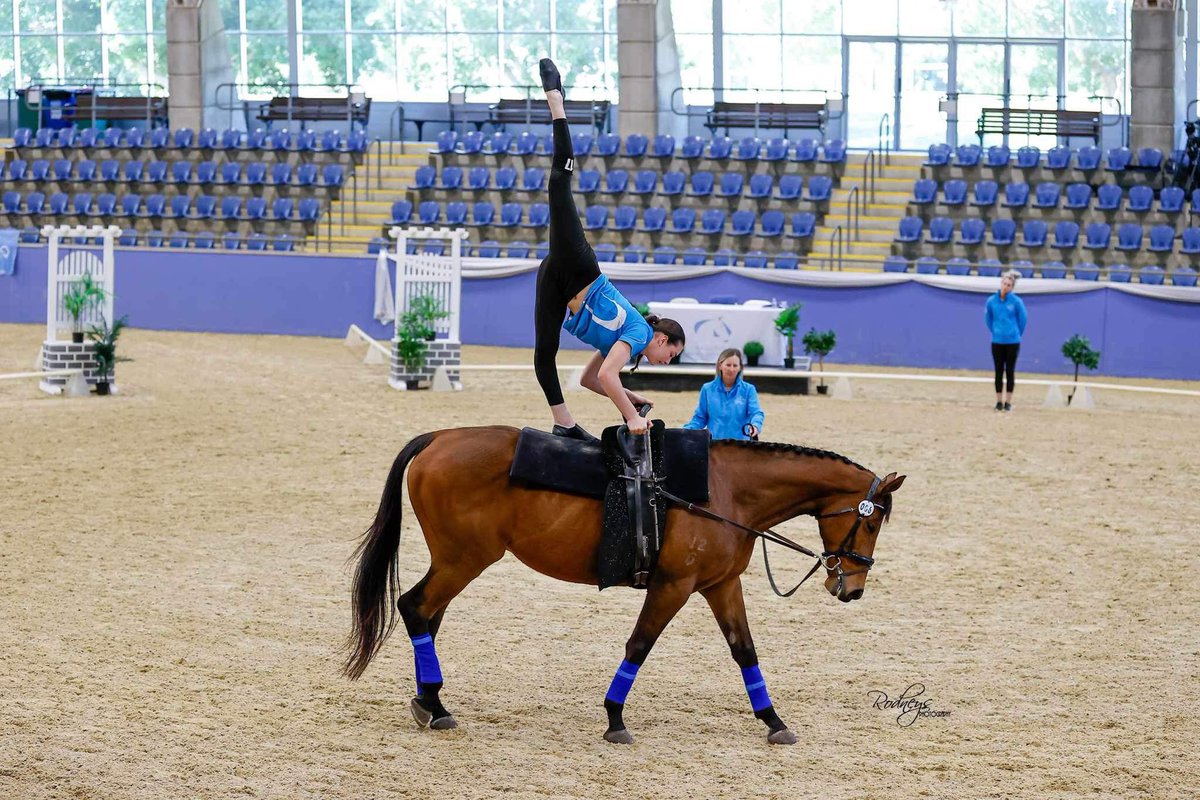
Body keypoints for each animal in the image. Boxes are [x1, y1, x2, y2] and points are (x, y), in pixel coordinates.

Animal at [343, 429, 902, 748]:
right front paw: (614, 718)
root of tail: (438, 438)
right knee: (415, 607)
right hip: (465, 560)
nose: (852, 589)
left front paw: (772, 721)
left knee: (427, 616)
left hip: (455, 562)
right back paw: (435, 706)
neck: (725, 491)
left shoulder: (720, 585)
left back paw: (427, 700)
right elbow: (639, 644)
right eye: (872, 522)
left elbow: (744, 651)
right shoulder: (674, 586)